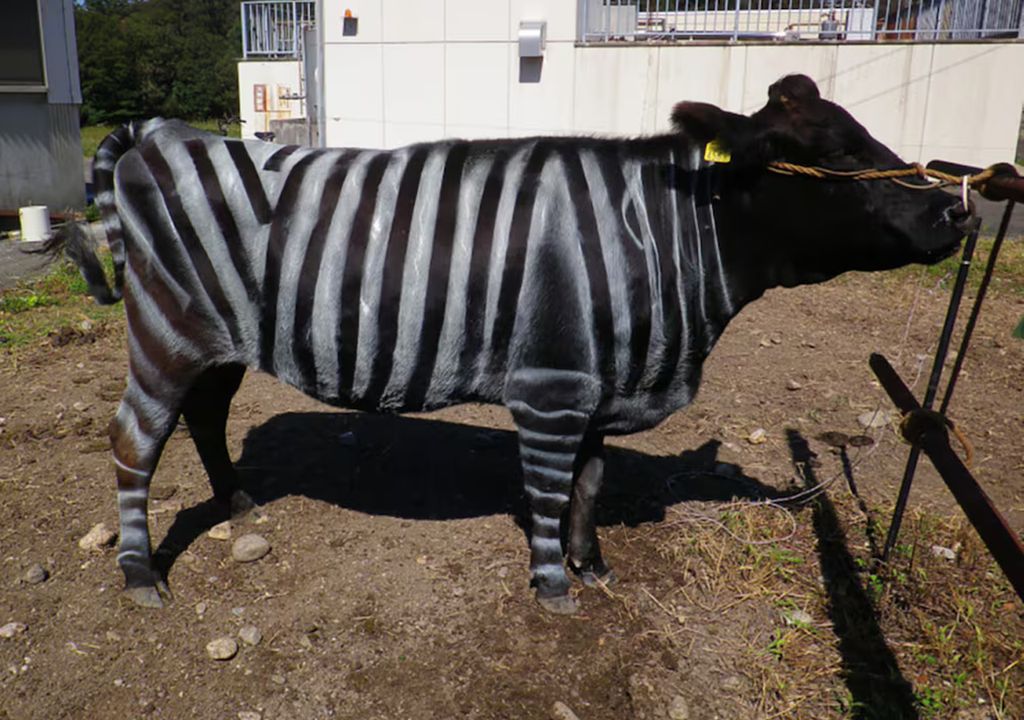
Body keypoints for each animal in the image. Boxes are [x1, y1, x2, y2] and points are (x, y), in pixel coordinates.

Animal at [53, 75, 969, 614]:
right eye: (830, 155)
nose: (955, 211)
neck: (657, 238)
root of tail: (166, 134)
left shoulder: (602, 383)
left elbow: (591, 485)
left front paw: (594, 566)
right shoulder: (554, 387)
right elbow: (551, 490)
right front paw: (555, 587)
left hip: (219, 340)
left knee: (204, 417)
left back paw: (240, 504)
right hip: (167, 333)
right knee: (134, 441)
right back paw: (140, 575)